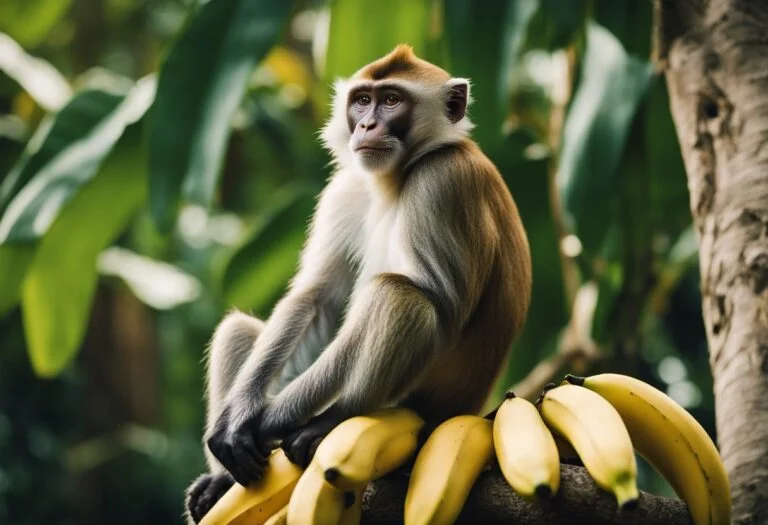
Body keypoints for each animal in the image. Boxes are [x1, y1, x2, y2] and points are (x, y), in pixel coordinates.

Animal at [185, 44, 532, 523]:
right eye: (362, 101)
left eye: (392, 101)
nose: (367, 125)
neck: (396, 177)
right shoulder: (348, 185)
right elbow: (315, 295)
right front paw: (237, 419)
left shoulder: (444, 181)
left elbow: (442, 309)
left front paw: (265, 423)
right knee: (240, 328)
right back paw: (223, 479)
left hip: (414, 403)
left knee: (401, 296)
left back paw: (336, 418)